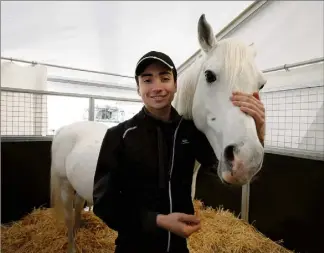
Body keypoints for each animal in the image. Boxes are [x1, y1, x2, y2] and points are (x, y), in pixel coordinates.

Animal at [50, 14, 266, 253]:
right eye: (210, 75)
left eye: (261, 85)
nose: (246, 161)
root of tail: (65, 129)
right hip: (64, 187)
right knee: (69, 217)